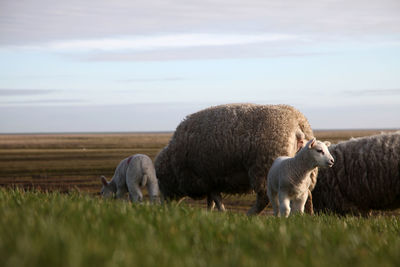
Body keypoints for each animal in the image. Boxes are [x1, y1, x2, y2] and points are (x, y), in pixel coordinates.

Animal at [155, 103, 314, 216]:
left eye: (159, 178)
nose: (163, 208)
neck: (173, 163)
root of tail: (297, 122)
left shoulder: (205, 178)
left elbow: (215, 199)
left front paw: (221, 212)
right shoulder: (211, 179)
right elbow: (212, 200)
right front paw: (212, 213)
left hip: (264, 170)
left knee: (264, 199)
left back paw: (249, 216)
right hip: (301, 172)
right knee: (308, 194)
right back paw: (308, 217)